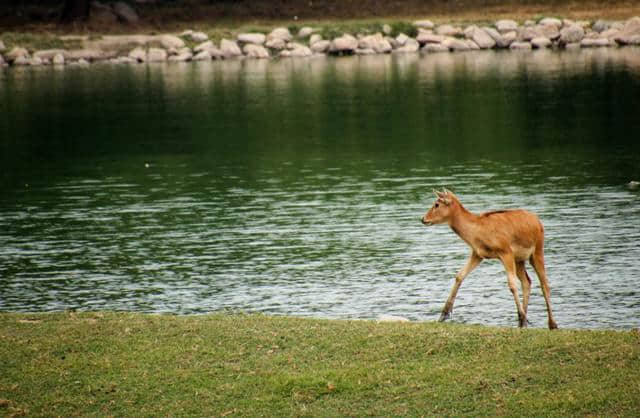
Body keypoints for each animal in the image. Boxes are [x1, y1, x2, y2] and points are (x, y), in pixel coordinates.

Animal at [420, 189, 556, 330]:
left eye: (437, 204)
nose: (423, 219)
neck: (477, 233)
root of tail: (538, 221)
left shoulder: (506, 251)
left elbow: (512, 285)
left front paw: (523, 317)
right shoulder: (477, 253)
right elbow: (460, 275)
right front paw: (443, 315)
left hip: (537, 250)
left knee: (544, 284)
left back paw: (551, 324)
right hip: (519, 259)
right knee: (527, 282)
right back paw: (521, 322)